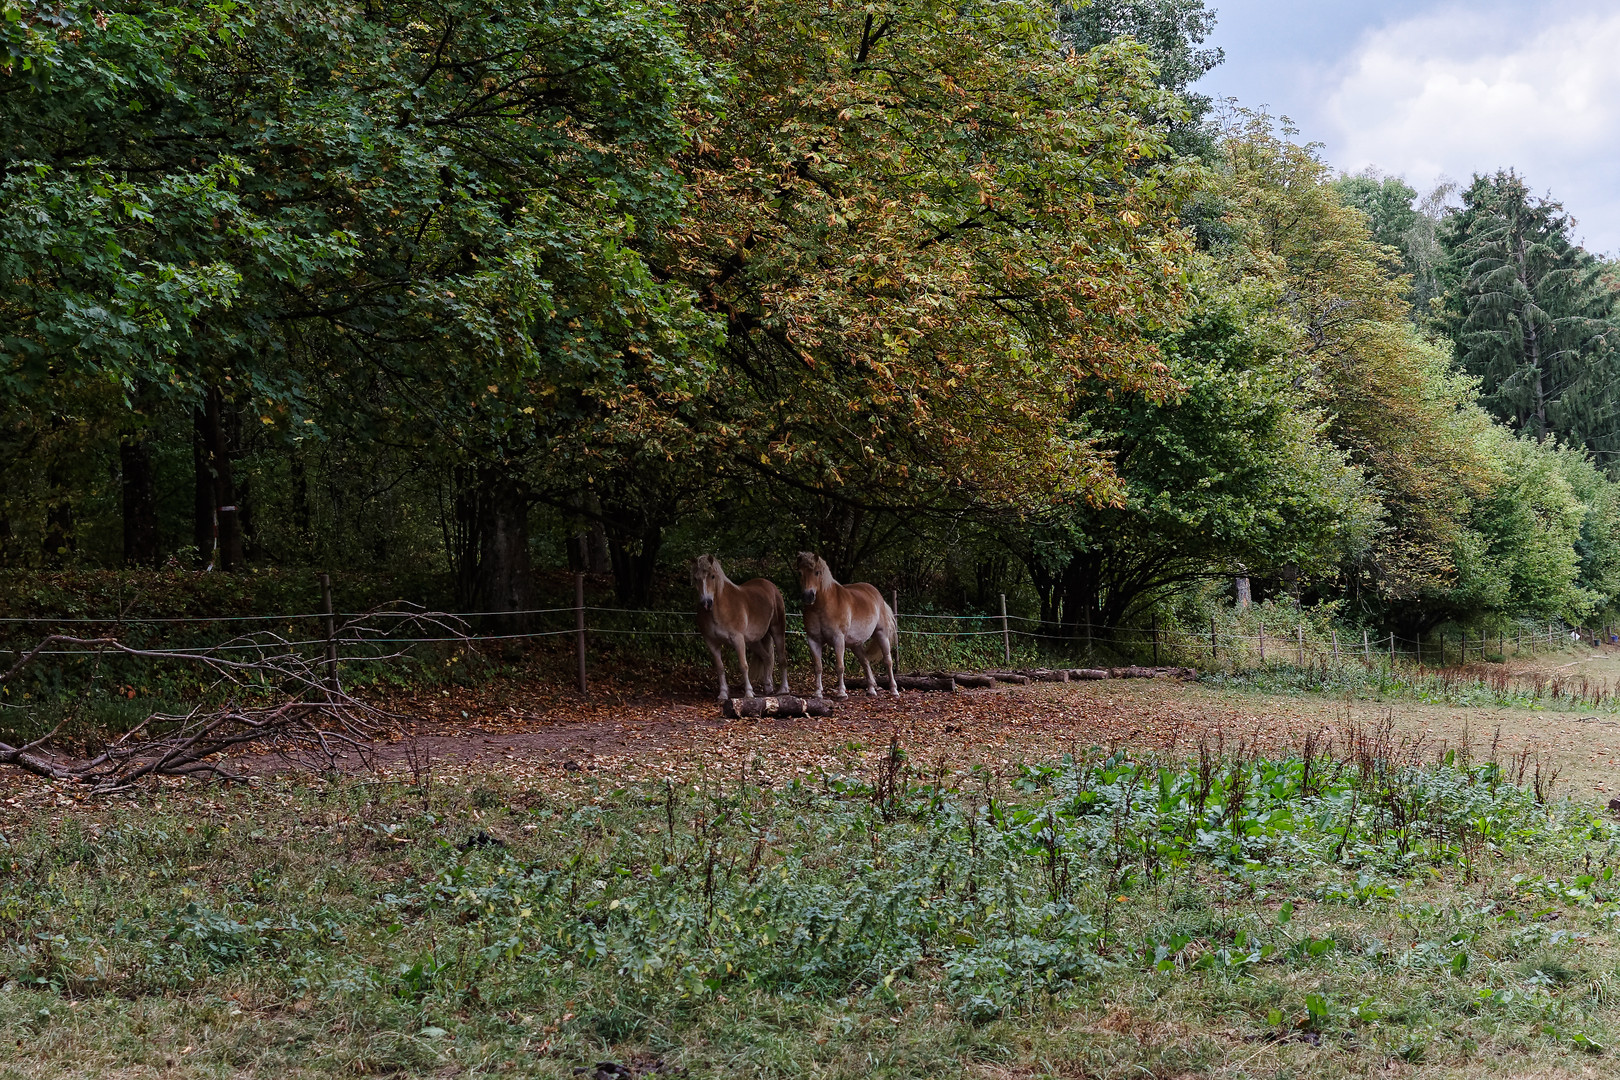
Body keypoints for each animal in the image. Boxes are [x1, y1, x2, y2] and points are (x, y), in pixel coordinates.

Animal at [686, 557, 787, 702]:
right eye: (696, 578)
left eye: (712, 576)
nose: (706, 603)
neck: (719, 609)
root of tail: (771, 586)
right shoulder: (711, 642)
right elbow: (720, 667)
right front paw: (723, 694)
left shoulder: (737, 639)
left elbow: (743, 665)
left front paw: (749, 693)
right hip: (753, 641)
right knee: (767, 658)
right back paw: (768, 687)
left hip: (777, 630)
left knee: (782, 659)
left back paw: (784, 689)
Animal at [787, 553, 894, 696]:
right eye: (800, 572)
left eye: (817, 572)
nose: (808, 597)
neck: (821, 606)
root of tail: (877, 594)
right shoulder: (813, 640)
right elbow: (818, 667)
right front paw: (818, 692)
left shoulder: (838, 638)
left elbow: (839, 666)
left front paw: (842, 692)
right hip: (856, 644)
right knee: (865, 662)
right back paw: (871, 689)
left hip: (881, 634)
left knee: (888, 661)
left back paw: (894, 690)